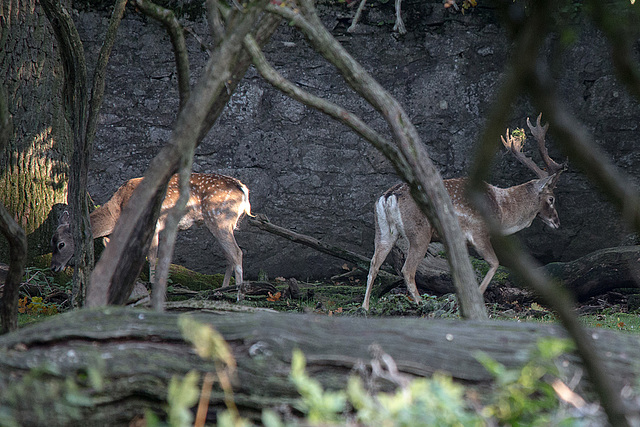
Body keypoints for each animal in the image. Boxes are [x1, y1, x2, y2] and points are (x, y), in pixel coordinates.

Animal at [51, 172, 251, 300]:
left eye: (61, 244)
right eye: (51, 242)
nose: (53, 267)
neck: (118, 211)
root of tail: (243, 190)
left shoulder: (153, 224)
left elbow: (152, 256)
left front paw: (153, 287)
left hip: (219, 218)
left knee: (237, 252)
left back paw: (239, 295)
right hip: (220, 222)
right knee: (228, 255)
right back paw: (220, 291)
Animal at [362, 115, 568, 312]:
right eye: (551, 199)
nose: (558, 222)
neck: (502, 209)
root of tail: (389, 196)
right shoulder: (479, 232)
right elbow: (494, 263)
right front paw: (475, 298)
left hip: (383, 230)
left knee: (374, 264)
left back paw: (365, 307)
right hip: (419, 233)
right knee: (407, 269)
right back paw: (421, 303)